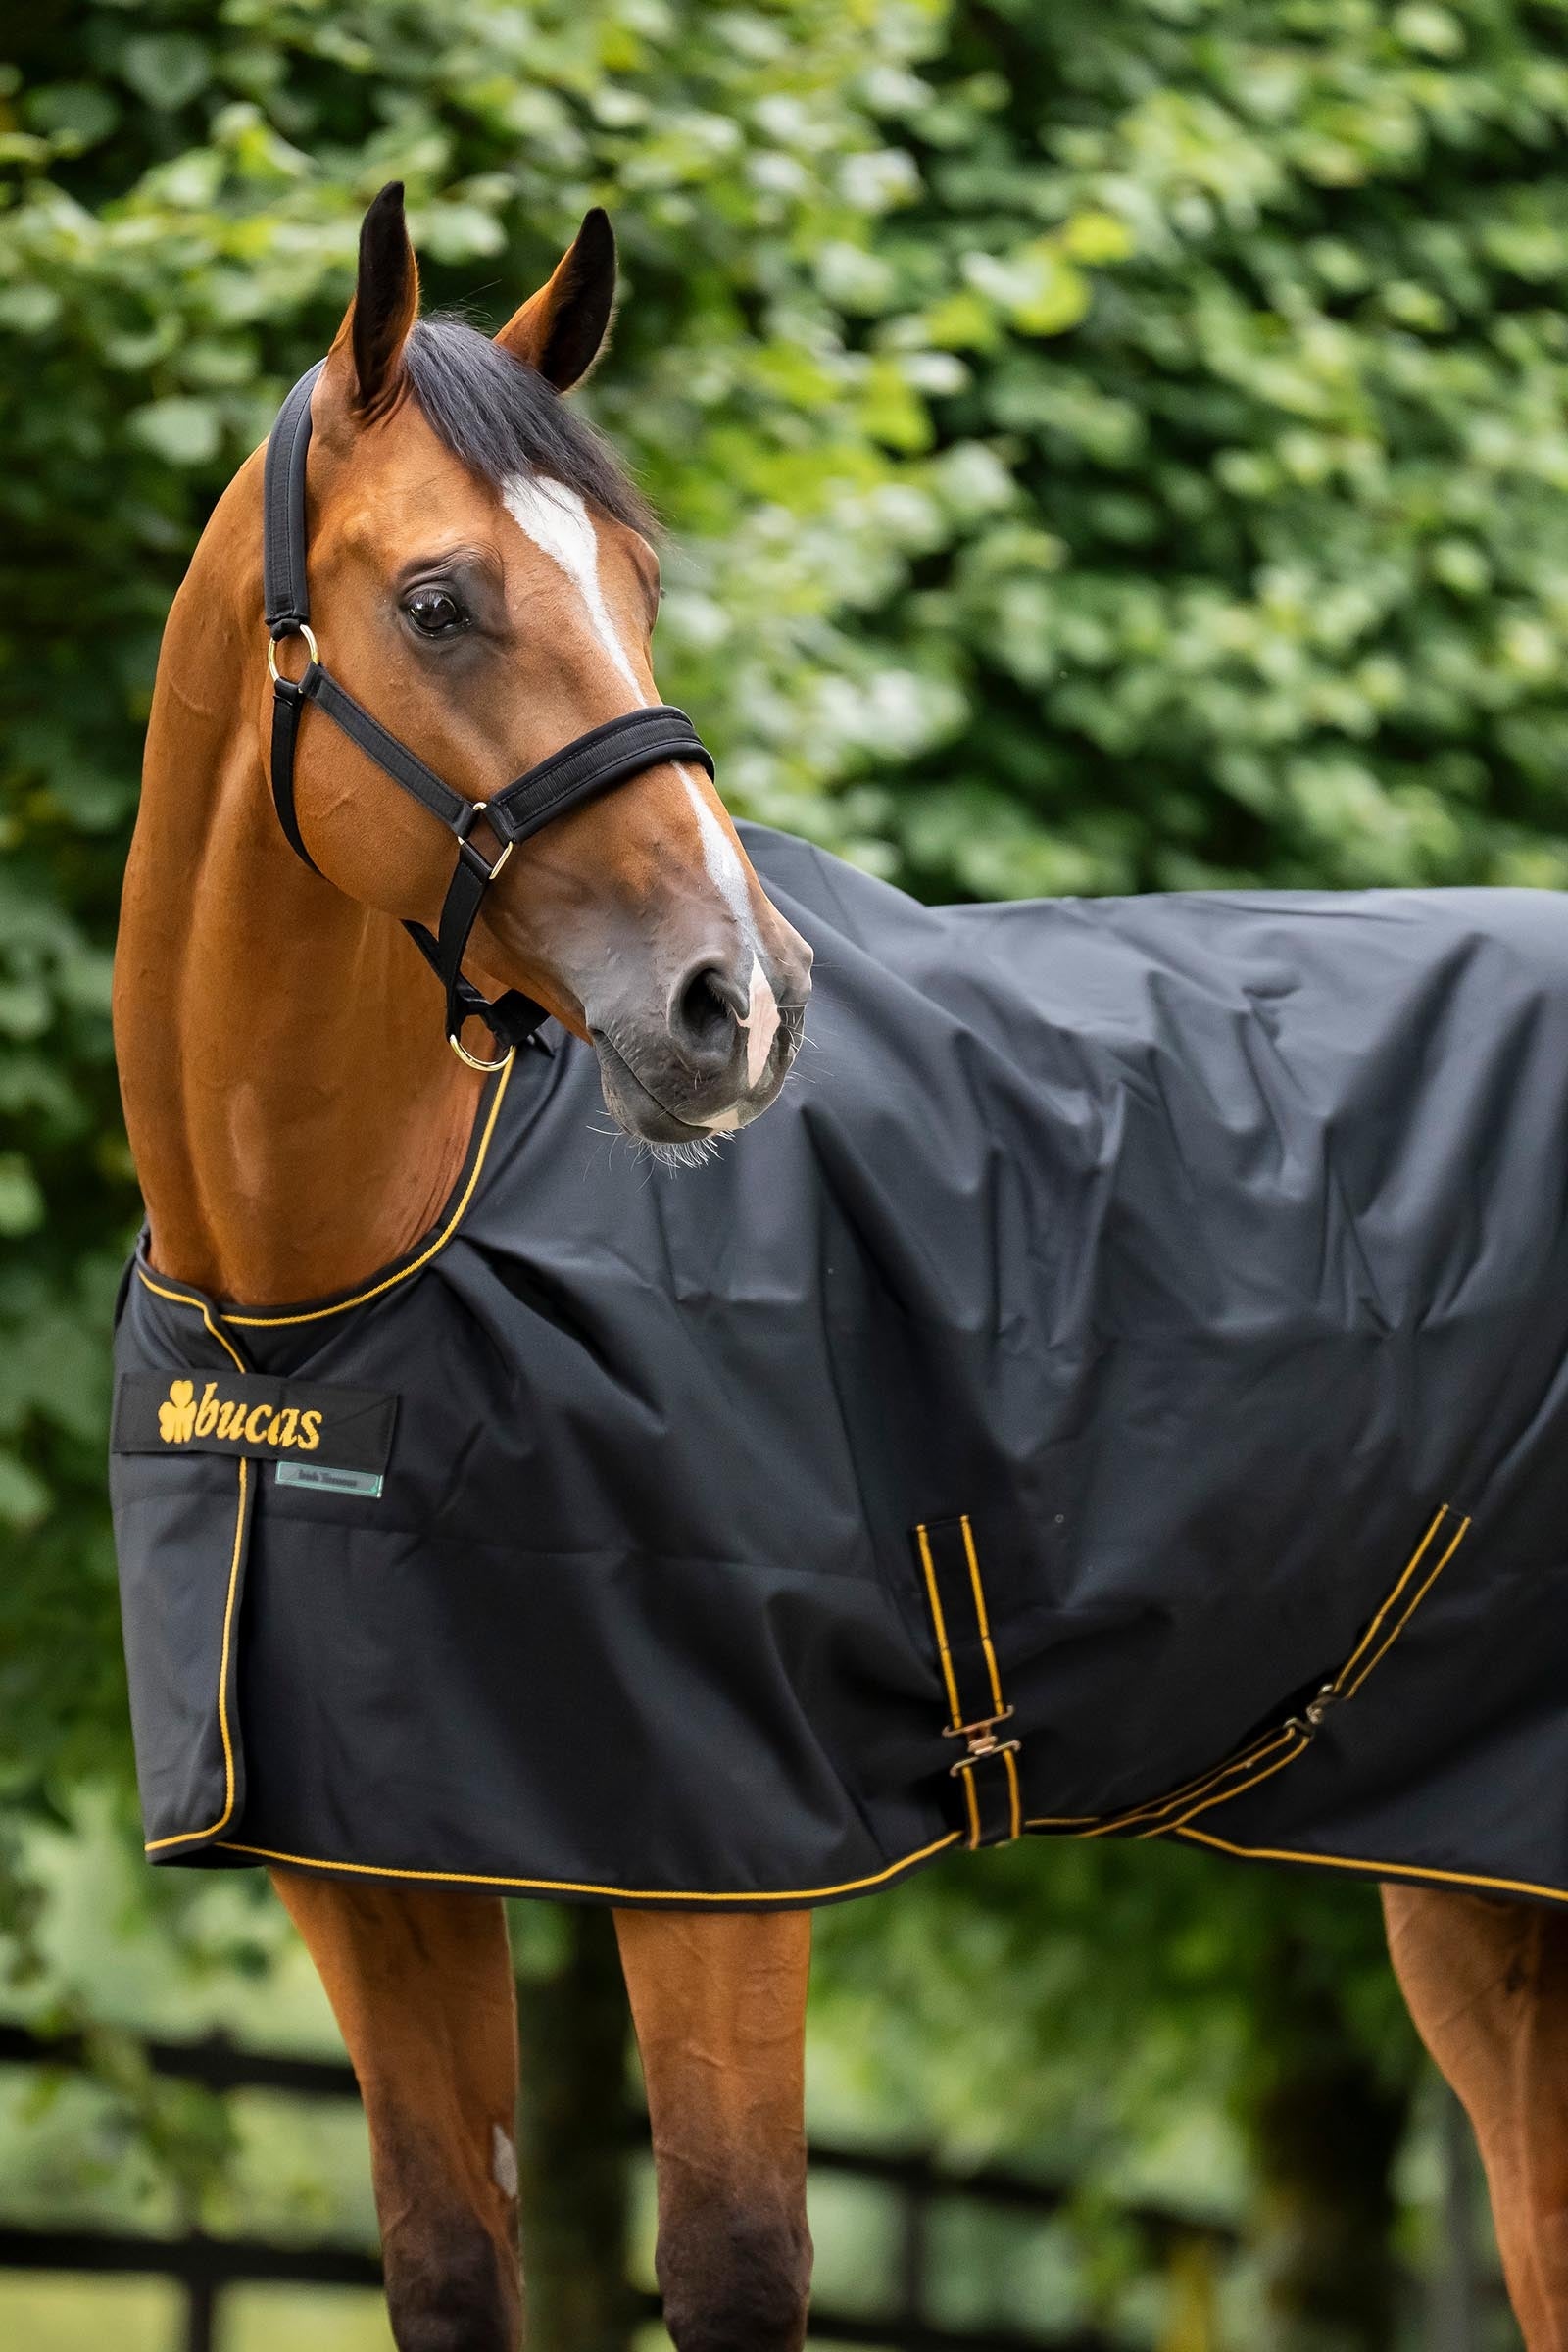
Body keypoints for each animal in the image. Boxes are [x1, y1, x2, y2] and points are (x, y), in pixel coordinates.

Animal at [111, 183, 1568, 2352]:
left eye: (637, 579)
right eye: (441, 600)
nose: (735, 1002)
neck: (329, 1293)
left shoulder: (729, 1853)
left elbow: (732, 2263)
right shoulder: (372, 1862)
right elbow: (449, 2267)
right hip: (1472, 1881)